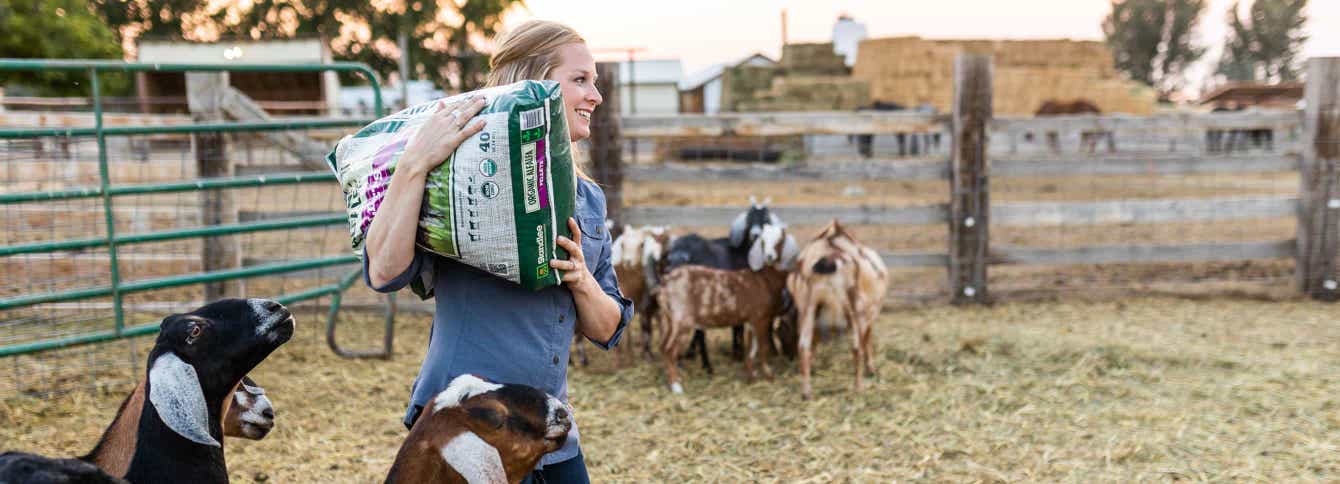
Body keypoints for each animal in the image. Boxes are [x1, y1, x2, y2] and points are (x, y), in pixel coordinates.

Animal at [782, 221, 889, 396]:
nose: (788, 357)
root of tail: (829, 259)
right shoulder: (869, 314)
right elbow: (866, 341)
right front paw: (871, 369)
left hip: (808, 306)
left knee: (803, 346)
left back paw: (806, 392)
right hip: (855, 308)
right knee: (856, 347)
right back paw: (858, 387)